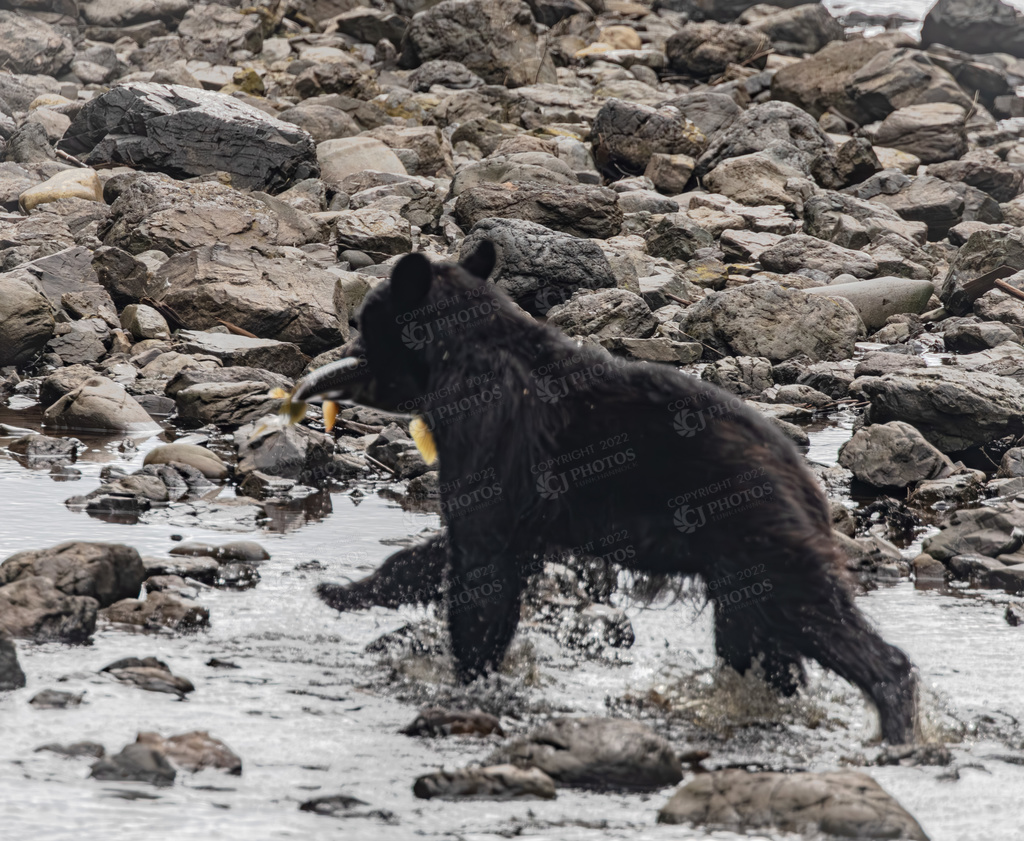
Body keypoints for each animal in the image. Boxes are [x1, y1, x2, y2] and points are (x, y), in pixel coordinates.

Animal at [293, 242, 918, 744]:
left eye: (361, 320)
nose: (337, 360)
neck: (463, 355)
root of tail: (803, 476)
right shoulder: (531, 515)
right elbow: (456, 551)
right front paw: (348, 590)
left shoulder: (493, 434)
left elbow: (480, 560)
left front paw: (469, 677)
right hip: (740, 576)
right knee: (759, 649)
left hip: (763, 542)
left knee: (824, 622)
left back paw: (895, 722)